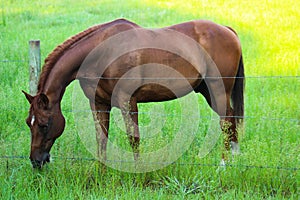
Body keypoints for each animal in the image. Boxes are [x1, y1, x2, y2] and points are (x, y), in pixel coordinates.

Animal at [22, 18, 244, 169]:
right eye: (28, 123)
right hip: (208, 92)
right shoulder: (99, 103)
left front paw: (138, 171)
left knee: (225, 122)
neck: (101, 52)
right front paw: (100, 172)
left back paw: (223, 165)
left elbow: (133, 138)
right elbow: (101, 138)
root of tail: (228, 30)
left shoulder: (127, 101)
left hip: (218, 90)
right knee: (231, 120)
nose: (36, 161)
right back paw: (234, 159)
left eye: (43, 124)